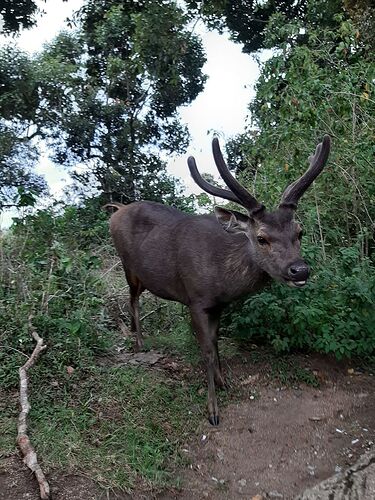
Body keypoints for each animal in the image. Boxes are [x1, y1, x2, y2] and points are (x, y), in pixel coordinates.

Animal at [106, 135, 332, 424]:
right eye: (261, 238)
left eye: (299, 231)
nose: (300, 270)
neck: (222, 279)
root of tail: (116, 210)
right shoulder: (196, 299)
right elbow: (206, 352)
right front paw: (212, 410)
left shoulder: (218, 305)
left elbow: (216, 345)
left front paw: (225, 382)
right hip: (127, 265)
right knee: (132, 299)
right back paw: (139, 343)